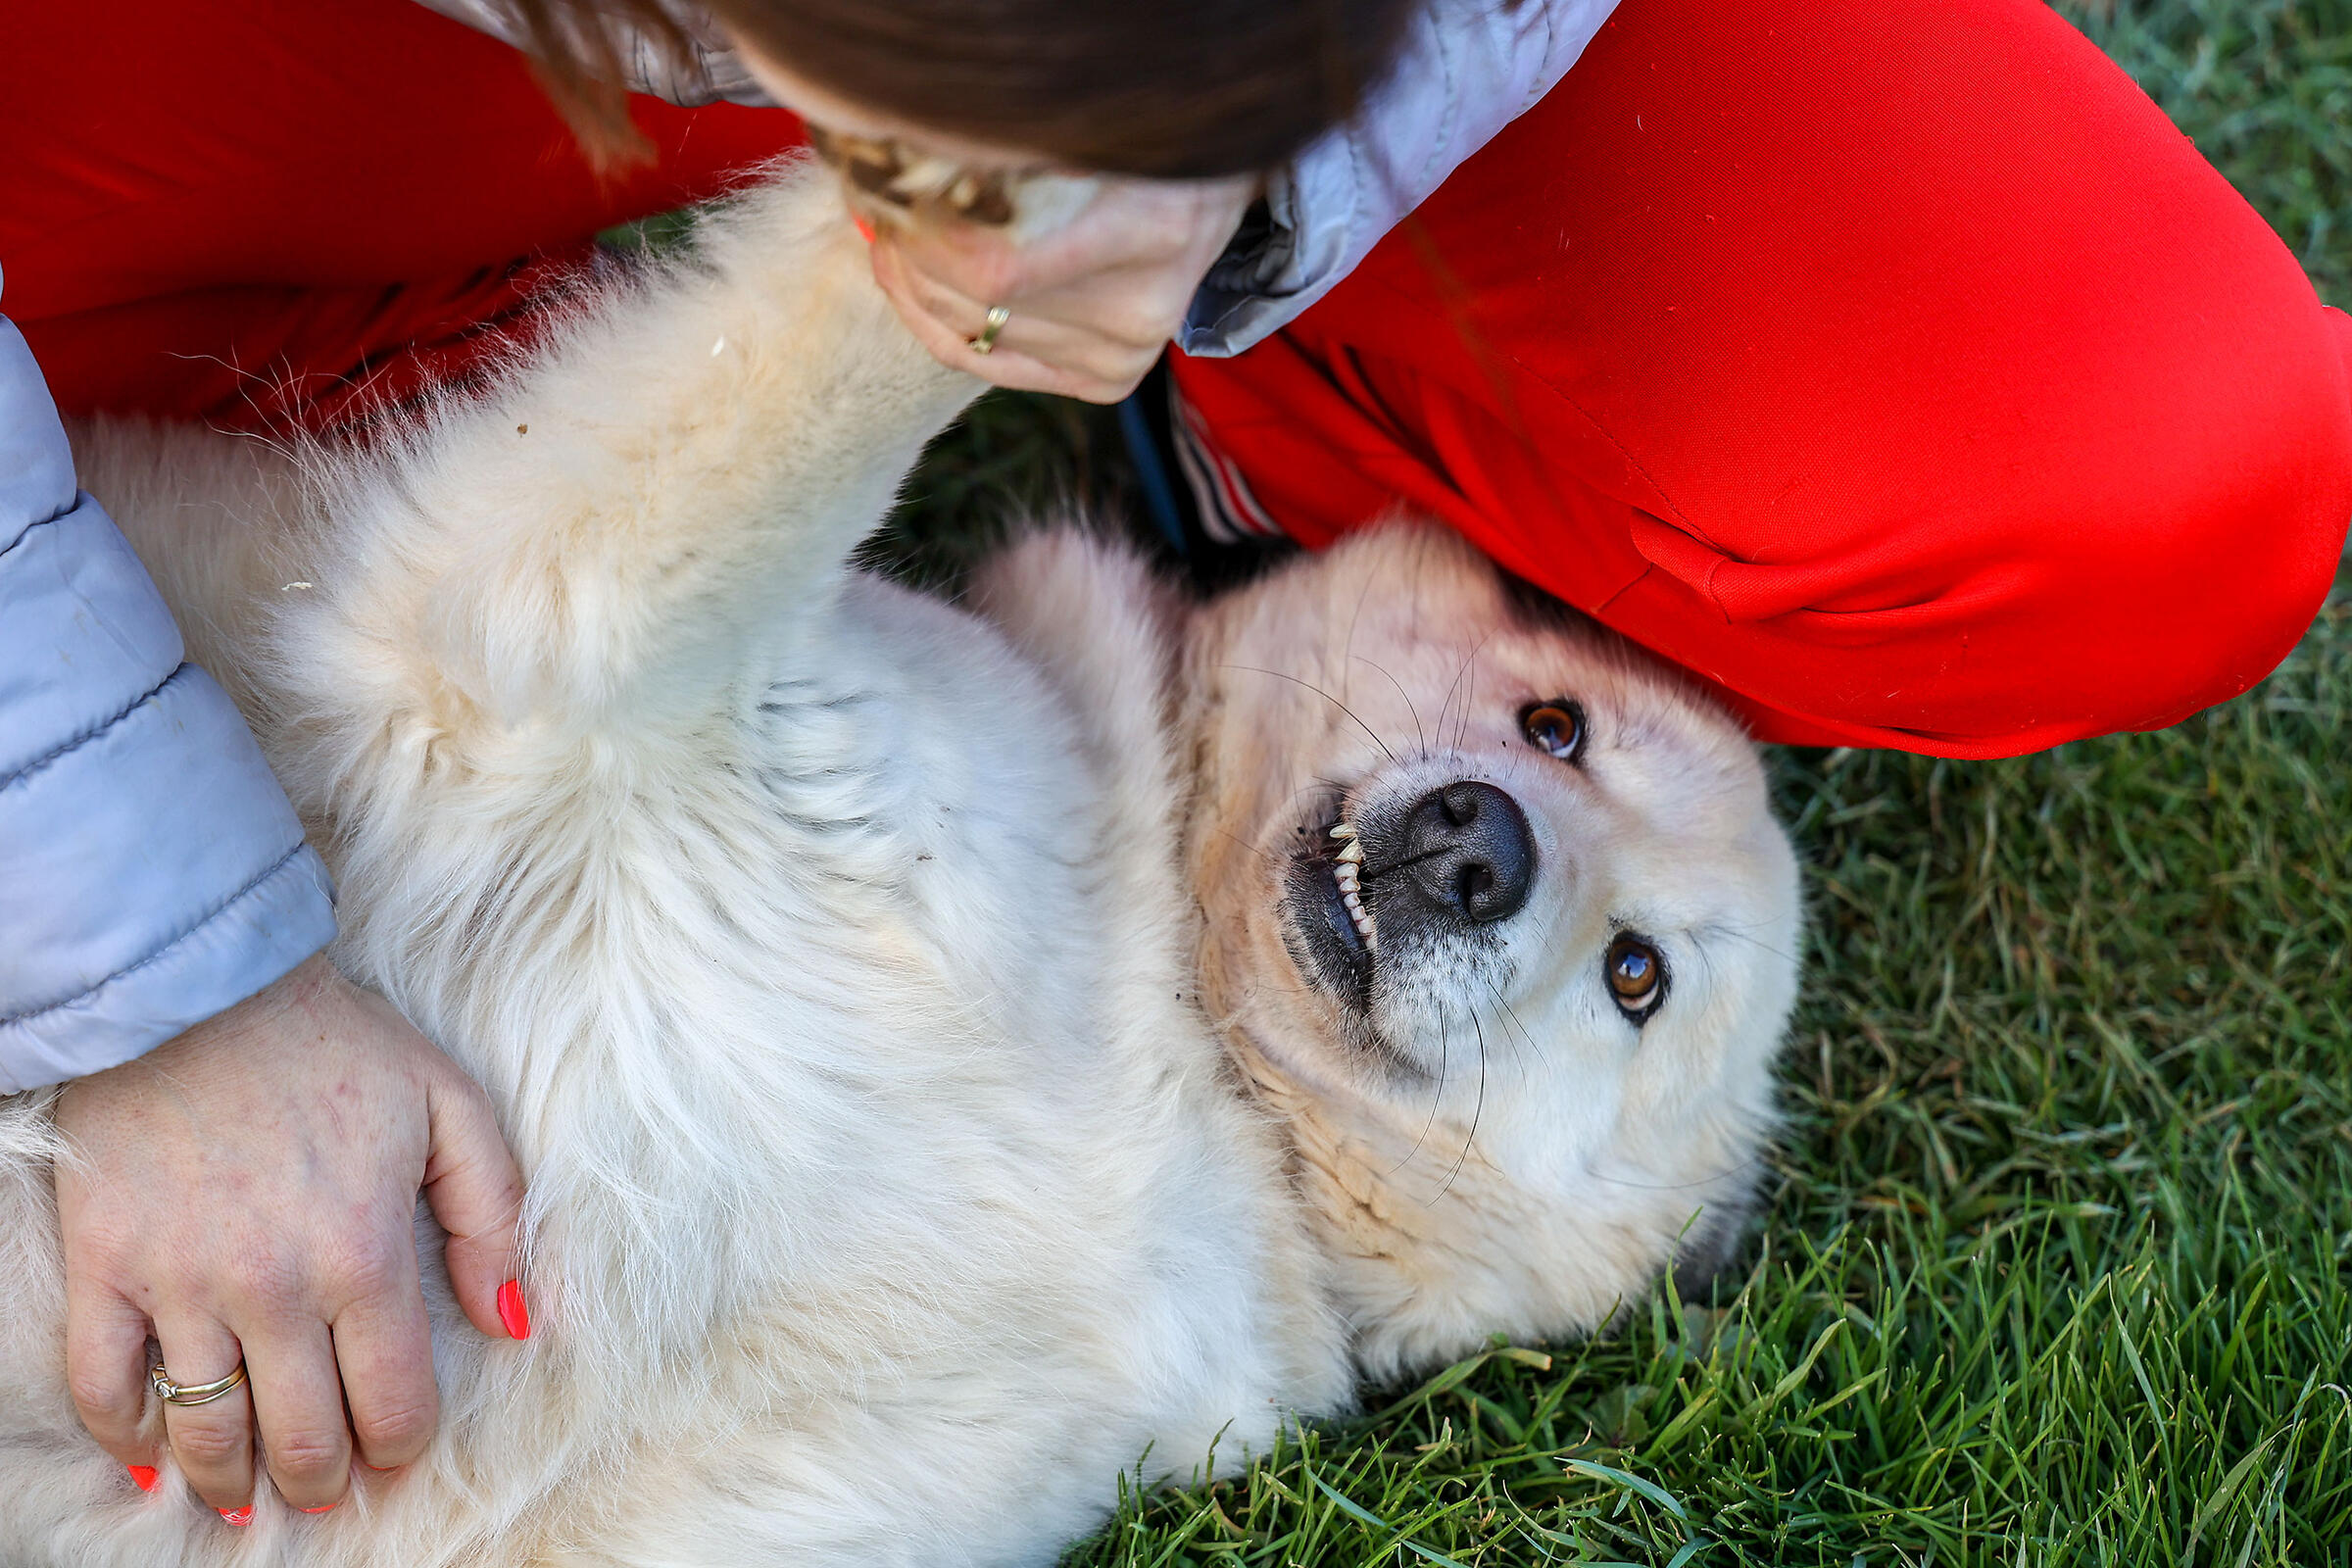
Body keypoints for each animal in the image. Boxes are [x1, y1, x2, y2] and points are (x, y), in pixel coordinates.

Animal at [0, 166, 1796, 1560]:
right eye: (1555, 724)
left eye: (1638, 977)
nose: (1482, 846)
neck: (1178, 1014)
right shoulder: (582, 676)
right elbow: (859, 368)